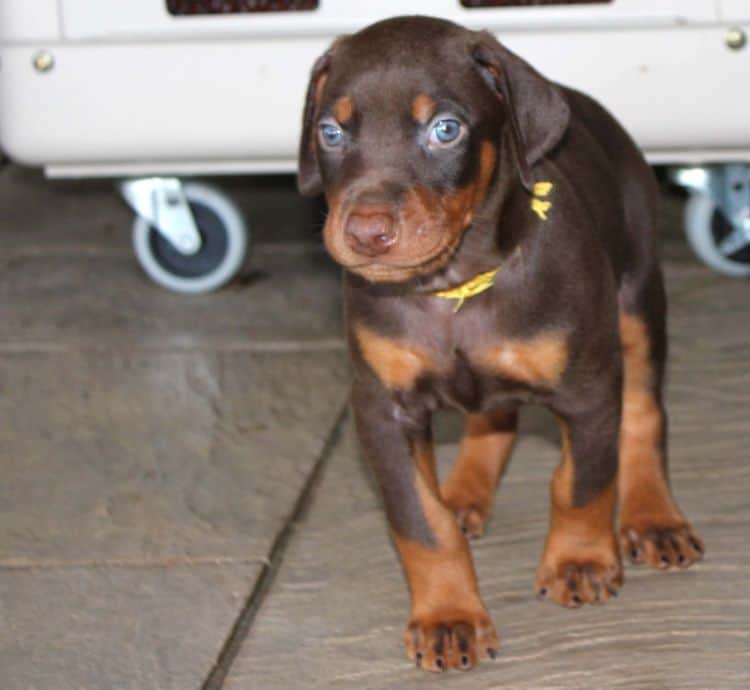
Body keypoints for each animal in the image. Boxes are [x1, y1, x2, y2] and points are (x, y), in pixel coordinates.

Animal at [298, 14, 704, 672]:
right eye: (330, 131)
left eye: (445, 129)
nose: (365, 233)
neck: (456, 287)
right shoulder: (381, 410)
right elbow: (421, 521)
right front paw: (448, 617)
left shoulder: (589, 389)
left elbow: (582, 483)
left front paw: (581, 560)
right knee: (492, 420)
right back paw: (464, 491)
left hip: (639, 297)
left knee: (645, 413)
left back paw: (652, 516)